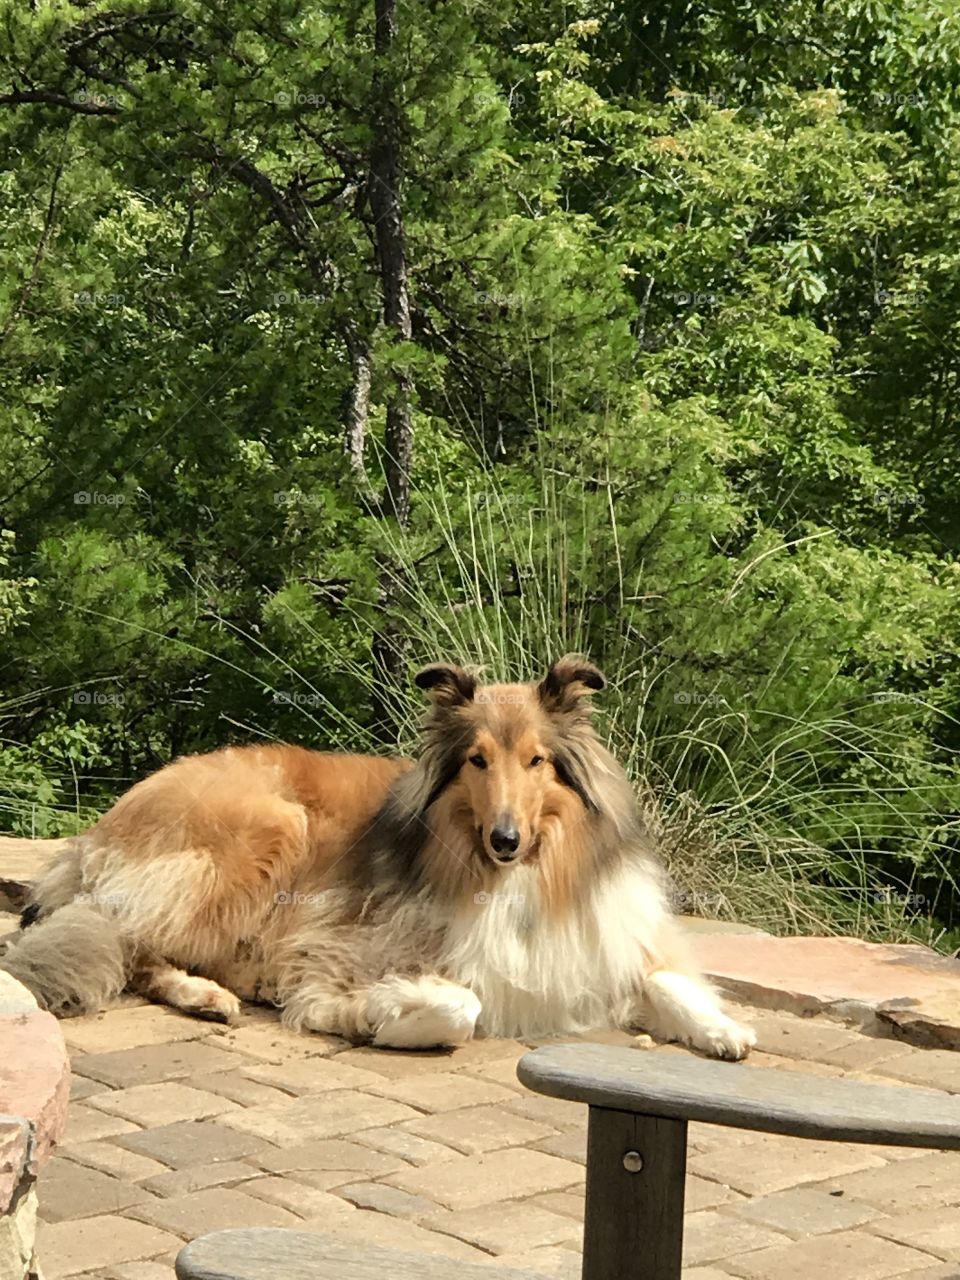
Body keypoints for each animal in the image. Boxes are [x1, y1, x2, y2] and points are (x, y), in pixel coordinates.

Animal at [1, 660, 757, 1059]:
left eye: (536, 761)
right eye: (477, 760)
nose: (504, 840)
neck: (516, 879)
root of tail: (98, 831)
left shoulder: (600, 943)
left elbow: (665, 980)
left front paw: (722, 1029)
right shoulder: (341, 943)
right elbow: (460, 1005)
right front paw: (374, 1014)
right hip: (268, 829)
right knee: (133, 944)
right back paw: (212, 992)